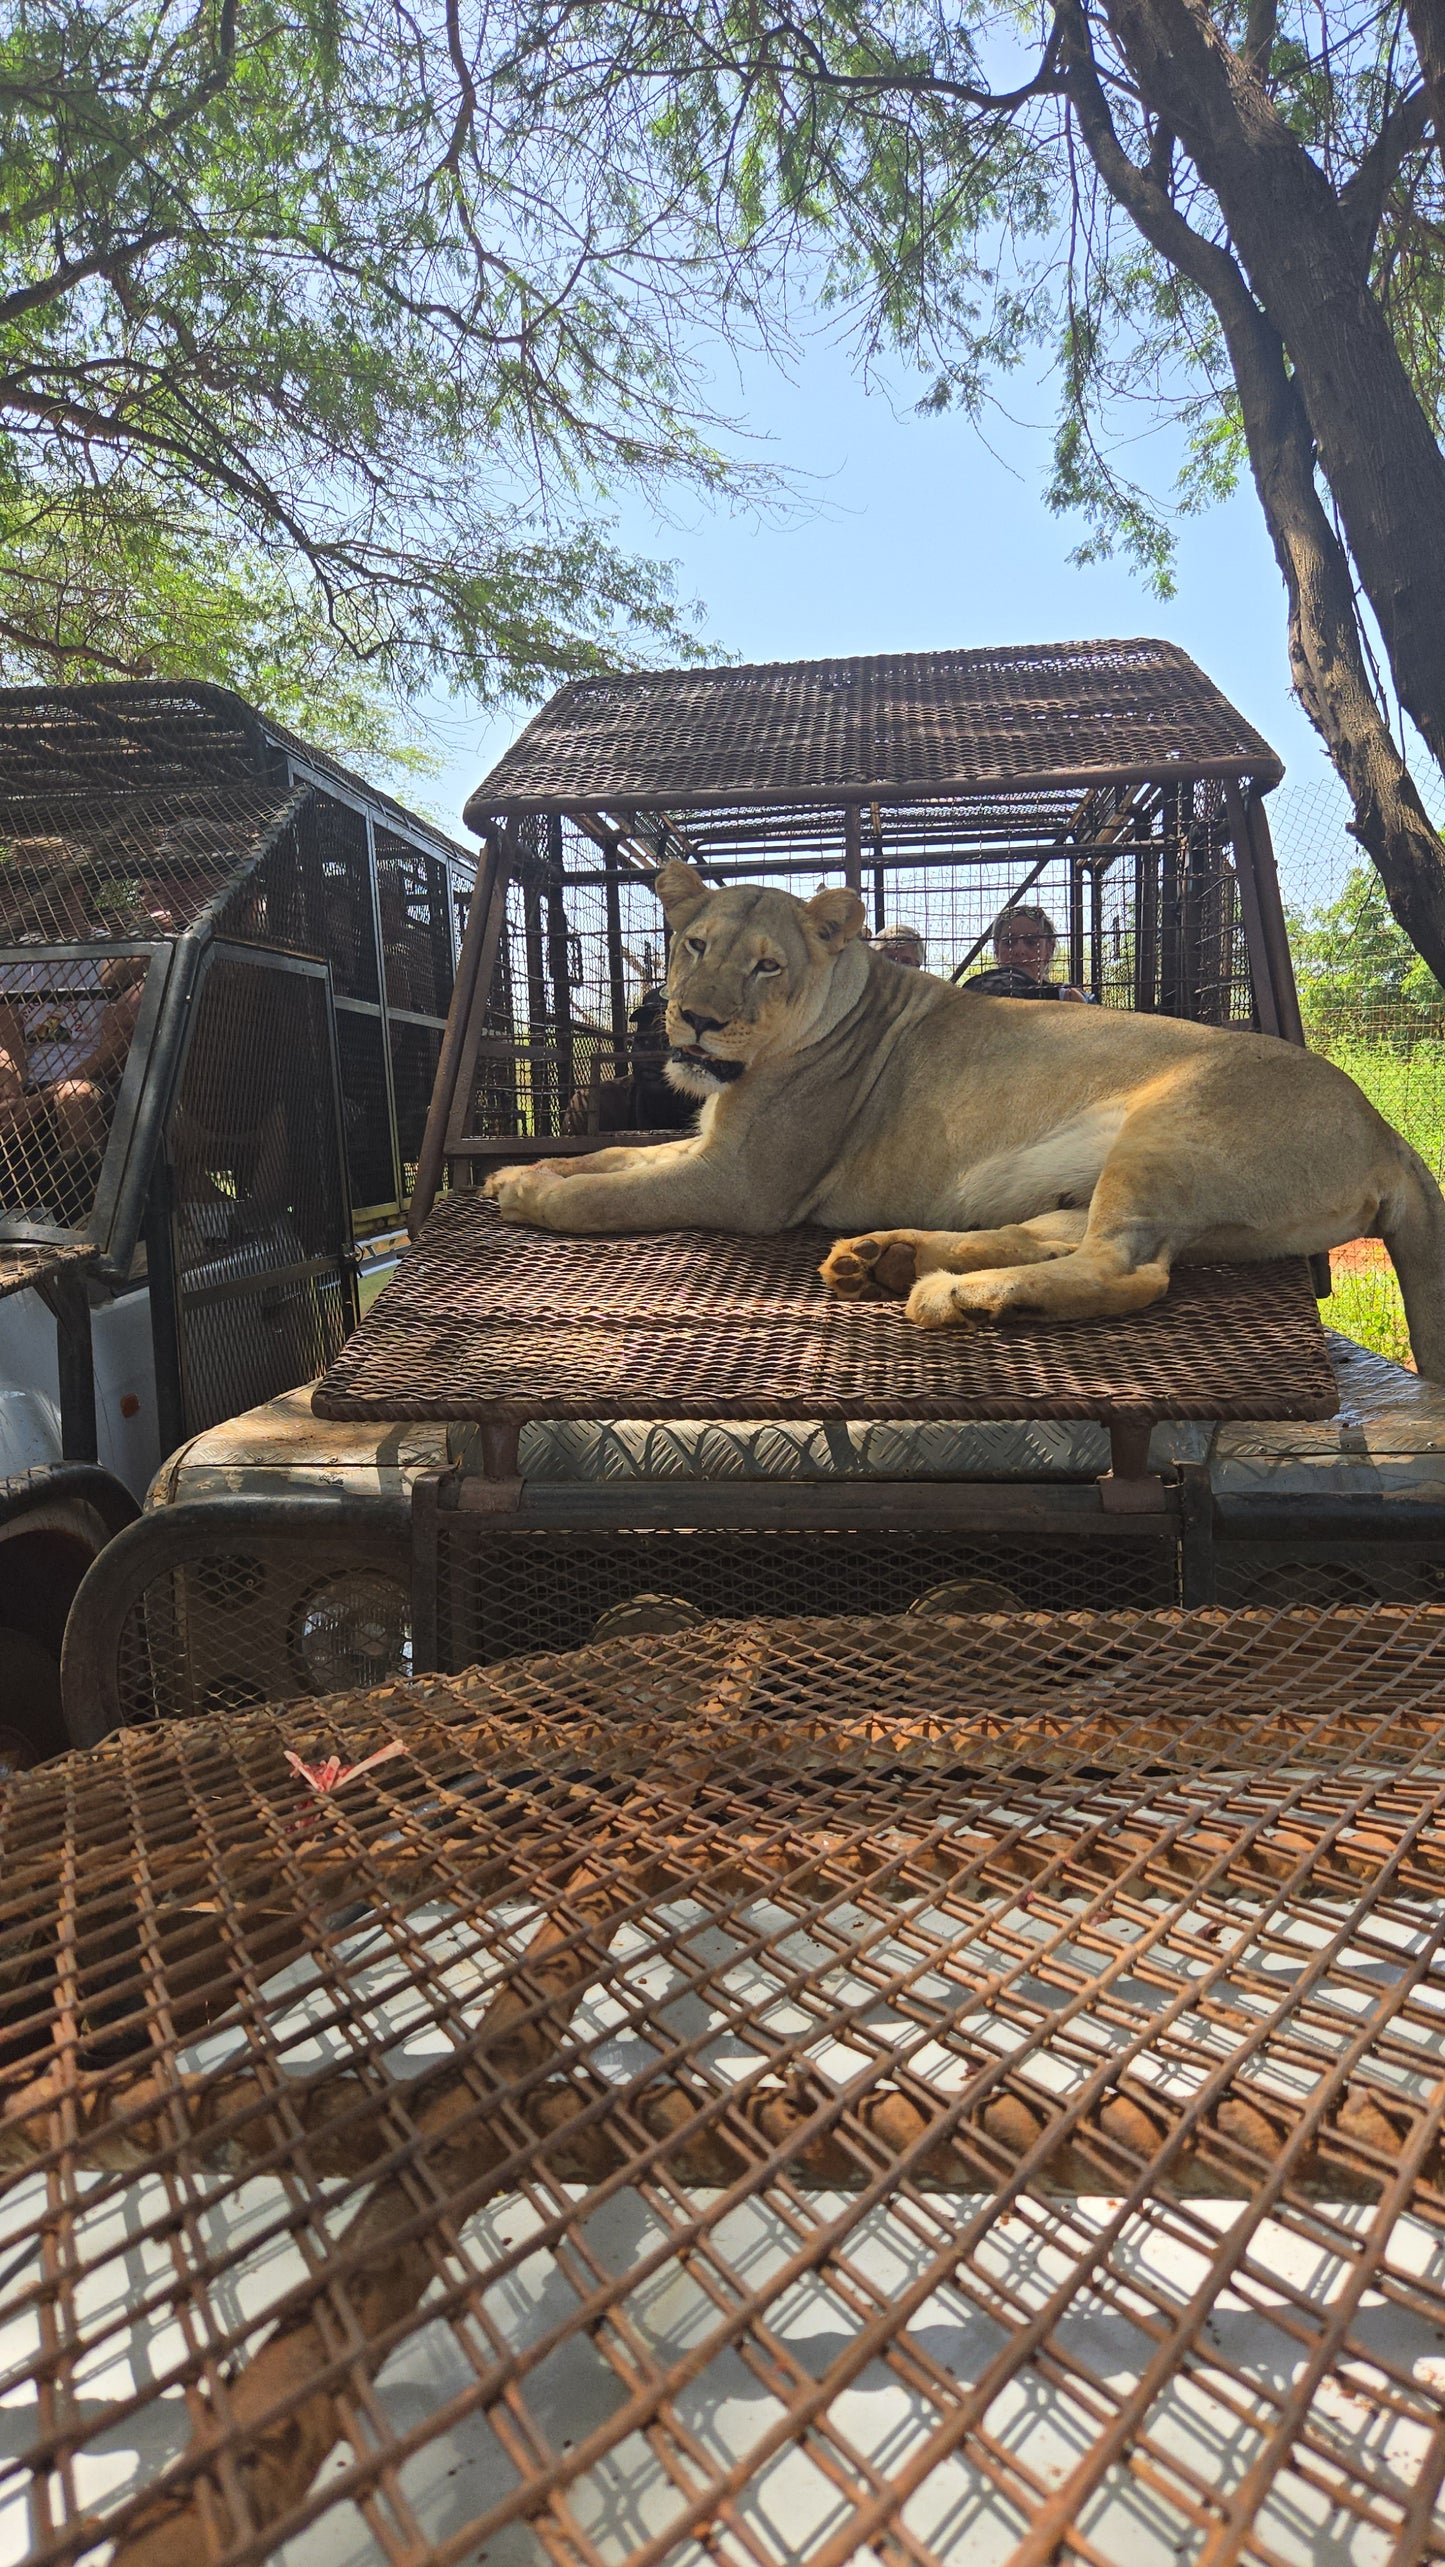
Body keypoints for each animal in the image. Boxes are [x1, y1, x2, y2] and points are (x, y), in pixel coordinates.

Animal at [485, 861, 1445, 1378]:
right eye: (694, 945)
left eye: (766, 966)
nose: (694, 1020)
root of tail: (1385, 1131)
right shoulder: (707, 1143)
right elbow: (610, 1158)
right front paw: (514, 1171)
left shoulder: (744, 1181)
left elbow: (608, 1196)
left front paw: (532, 1197)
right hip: (1127, 1185)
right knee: (1060, 1236)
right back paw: (887, 1259)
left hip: (1169, 1128)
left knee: (1130, 1271)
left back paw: (956, 1295)